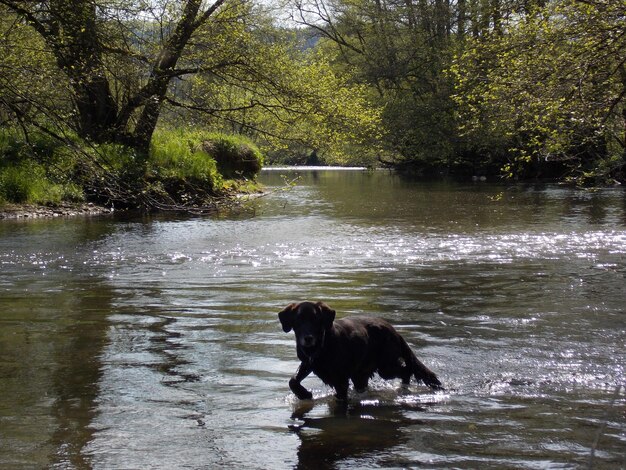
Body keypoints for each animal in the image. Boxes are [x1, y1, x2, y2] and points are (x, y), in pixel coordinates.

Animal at [280, 302, 442, 400]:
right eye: (298, 321)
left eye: (316, 320)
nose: (308, 338)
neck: (323, 344)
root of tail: (394, 331)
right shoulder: (308, 362)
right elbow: (292, 380)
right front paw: (304, 394)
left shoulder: (340, 380)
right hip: (361, 374)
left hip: (386, 367)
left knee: (406, 370)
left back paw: (404, 388)